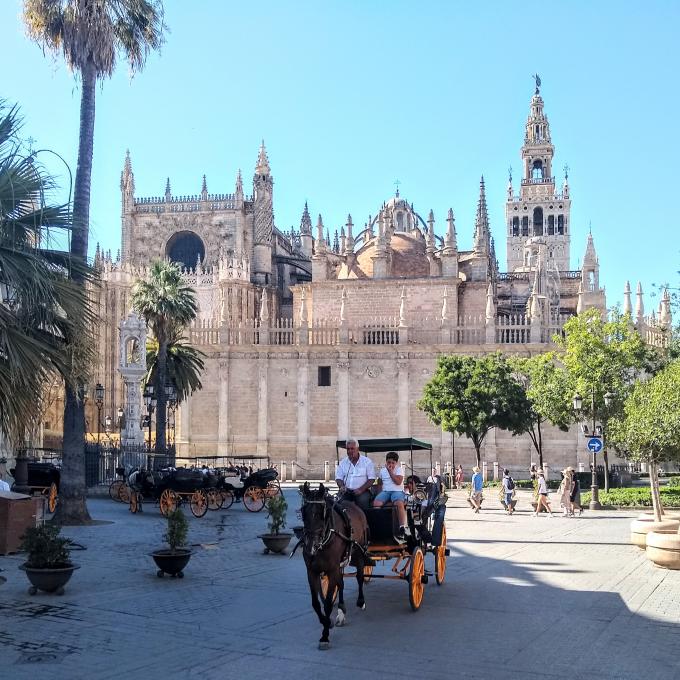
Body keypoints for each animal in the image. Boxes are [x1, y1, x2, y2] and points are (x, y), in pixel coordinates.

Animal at [298, 484, 372, 648]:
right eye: (303, 511)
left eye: (322, 513)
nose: (311, 546)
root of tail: (355, 506)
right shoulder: (311, 571)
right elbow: (316, 603)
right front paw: (328, 621)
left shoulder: (332, 570)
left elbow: (326, 604)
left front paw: (325, 635)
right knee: (341, 583)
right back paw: (341, 610)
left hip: (359, 553)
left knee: (359, 576)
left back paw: (361, 601)